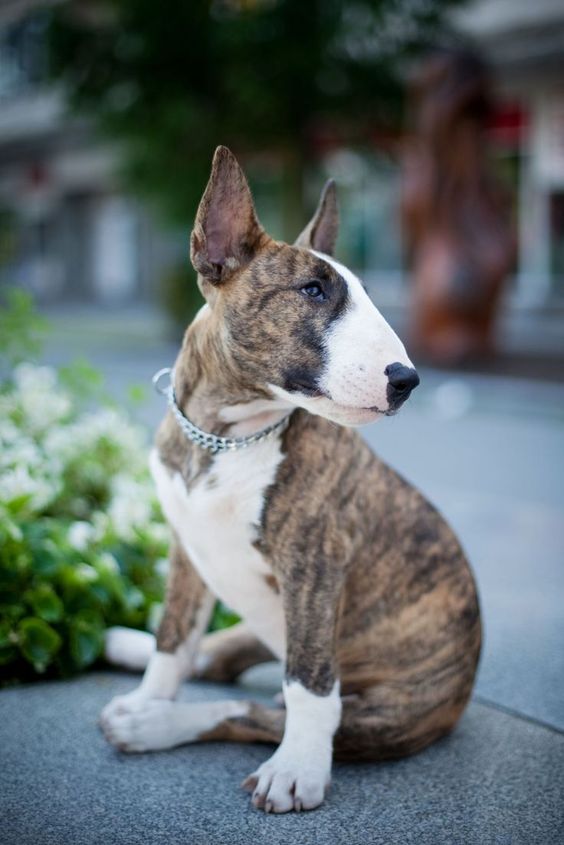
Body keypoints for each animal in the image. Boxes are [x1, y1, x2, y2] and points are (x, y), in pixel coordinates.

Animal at [101, 145, 480, 812]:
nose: (406, 379)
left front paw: (297, 769)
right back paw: (131, 657)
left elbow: (308, 685)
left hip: (386, 712)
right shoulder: (186, 551)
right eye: (312, 290)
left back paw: (155, 726)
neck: (225, 437)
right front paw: (151, 688)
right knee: (216, 658)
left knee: (259, 707)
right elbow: (174, 642)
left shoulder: (315, 564)